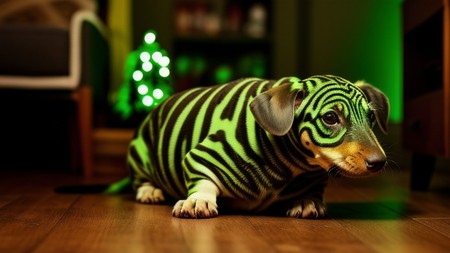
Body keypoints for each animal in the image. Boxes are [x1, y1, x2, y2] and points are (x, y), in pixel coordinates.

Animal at [125, 74, 386, 218]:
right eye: (330, 117)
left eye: (371, 117)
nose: (379, 162)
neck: (291, 165)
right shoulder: (201, 156)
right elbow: (203, 181)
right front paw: (199, 199)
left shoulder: (314, 175)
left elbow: (313, 189)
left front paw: (307, 200)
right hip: (140, 155)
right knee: (141, 180)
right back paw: (150, 191)